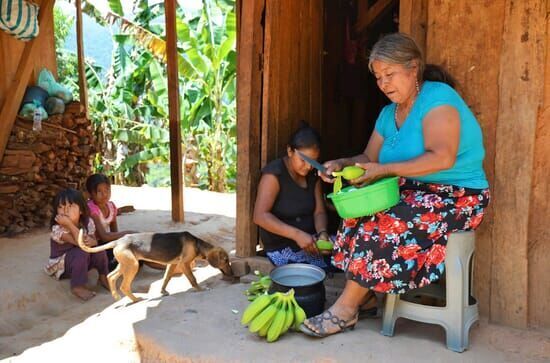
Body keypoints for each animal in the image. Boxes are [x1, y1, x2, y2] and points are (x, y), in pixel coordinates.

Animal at [77, 230, 233, 304]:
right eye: (226, 260)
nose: (232, 274)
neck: (198, 245)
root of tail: (118, 241)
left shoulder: (172, 264)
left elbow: (166, 279)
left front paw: (163, 291)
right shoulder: (184, 264)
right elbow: (193, 279)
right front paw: (200, 289)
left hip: (125, 264)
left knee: (110, 276)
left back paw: (115, 296)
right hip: (132, 265)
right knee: (124, 286)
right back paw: (135, 299)